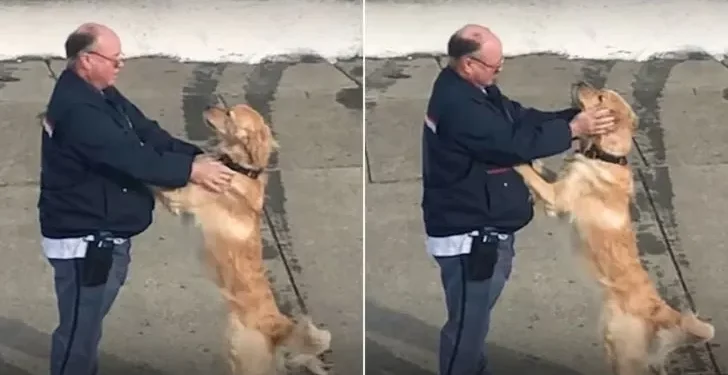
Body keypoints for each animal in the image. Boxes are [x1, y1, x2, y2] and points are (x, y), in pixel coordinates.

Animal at [155, 101, 334, 374]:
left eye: (229, 114)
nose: (207, 105)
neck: (237, 168)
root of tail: (277, 327)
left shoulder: (179, 196)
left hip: (244, 356)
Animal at [516, 82, 712, 375]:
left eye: (600, 97)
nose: (580, 82)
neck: (604, 156)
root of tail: (660, 310)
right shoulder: (558, 189)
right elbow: (543, 171)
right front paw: (535, 160)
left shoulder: (557, 198)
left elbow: (530, 174)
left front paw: (514, 160)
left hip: (622, 354)